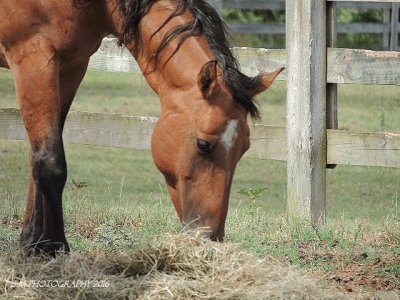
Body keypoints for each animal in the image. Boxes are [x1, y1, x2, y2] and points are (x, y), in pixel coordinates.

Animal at [0, 0, 282, 255]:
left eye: (244, 148)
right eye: (203, 144)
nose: (209, 237)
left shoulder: (71, 65)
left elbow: (38, 155)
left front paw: (34, 243)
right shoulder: (34, 60)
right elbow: (51, 161)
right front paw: (54, 246)